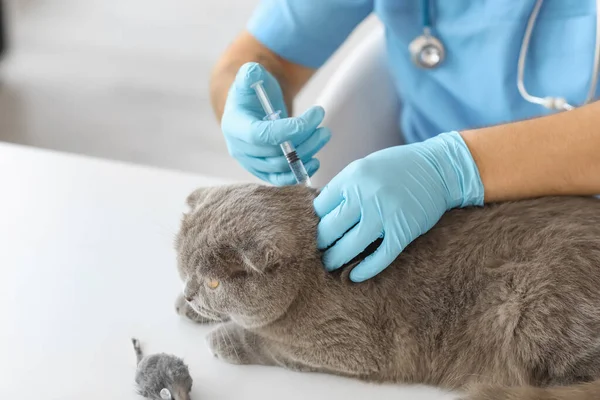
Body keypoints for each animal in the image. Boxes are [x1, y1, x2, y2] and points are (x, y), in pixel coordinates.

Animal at [176, 183, 600, 398]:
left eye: (215, 282)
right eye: (182, 261)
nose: (193, 292)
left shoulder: (348, 346)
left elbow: (271, 344)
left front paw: (226, 338)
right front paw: (186, 305)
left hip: (533, 311)